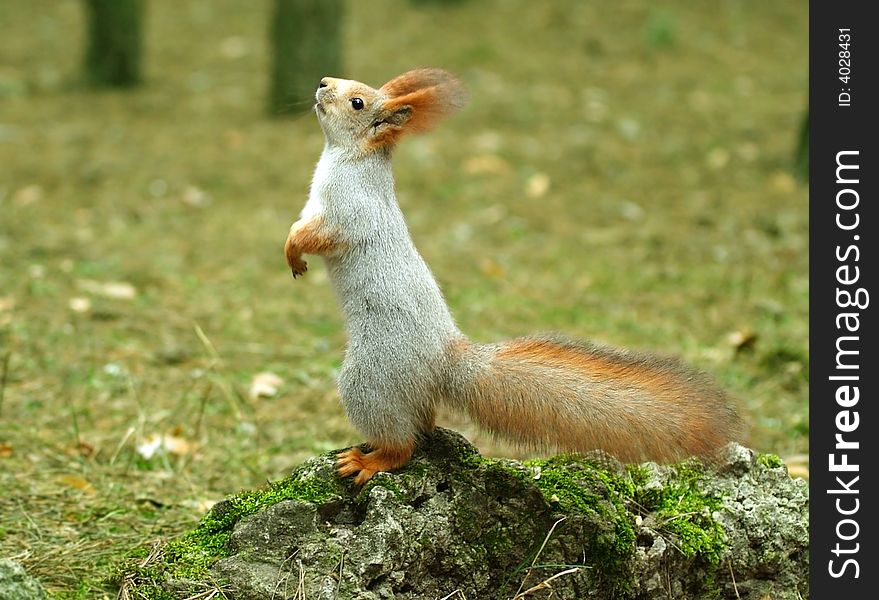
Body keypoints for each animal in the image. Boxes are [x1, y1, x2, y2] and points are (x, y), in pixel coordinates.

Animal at [284, 68, 744, 486]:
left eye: (357, 102)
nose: (323, 82)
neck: (347, 158)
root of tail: (445, 360)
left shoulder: (347, 213)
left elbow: (319, 234)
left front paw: (294, 252)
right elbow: (300, 223)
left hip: (370, 378)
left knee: (403, 446)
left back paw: (370, 461)